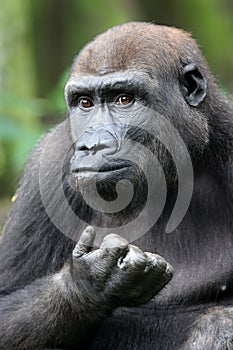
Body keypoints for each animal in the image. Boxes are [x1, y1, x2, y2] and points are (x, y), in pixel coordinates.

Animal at [0, 22, 233, 350]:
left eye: (124, 99)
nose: (92, 146)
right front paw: (90, 281)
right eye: (84, 103)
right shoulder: (47, 166)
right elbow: (4, 303)